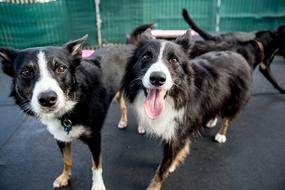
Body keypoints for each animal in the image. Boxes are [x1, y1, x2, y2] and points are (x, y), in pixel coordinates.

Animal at [0, 36, 134, 190]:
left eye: (61, 68)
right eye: (26, 72)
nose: (47, 99)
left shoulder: (94, 137)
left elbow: (96, 166)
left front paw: (98, 185)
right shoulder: (61, 137)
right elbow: (67, 160)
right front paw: (65, 177)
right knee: (123, 106)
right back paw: (123, 122)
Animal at [122, 30, 251, 189]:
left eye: (174, 60)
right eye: (146, 56)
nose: (157, 78)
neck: (176, 97)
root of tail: (235, 53)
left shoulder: (179, 132)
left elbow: (162, 170)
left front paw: (155, 184)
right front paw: (172, 163)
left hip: (235, 99)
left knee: (227, 118)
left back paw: (221, 134)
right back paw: (211, 121)